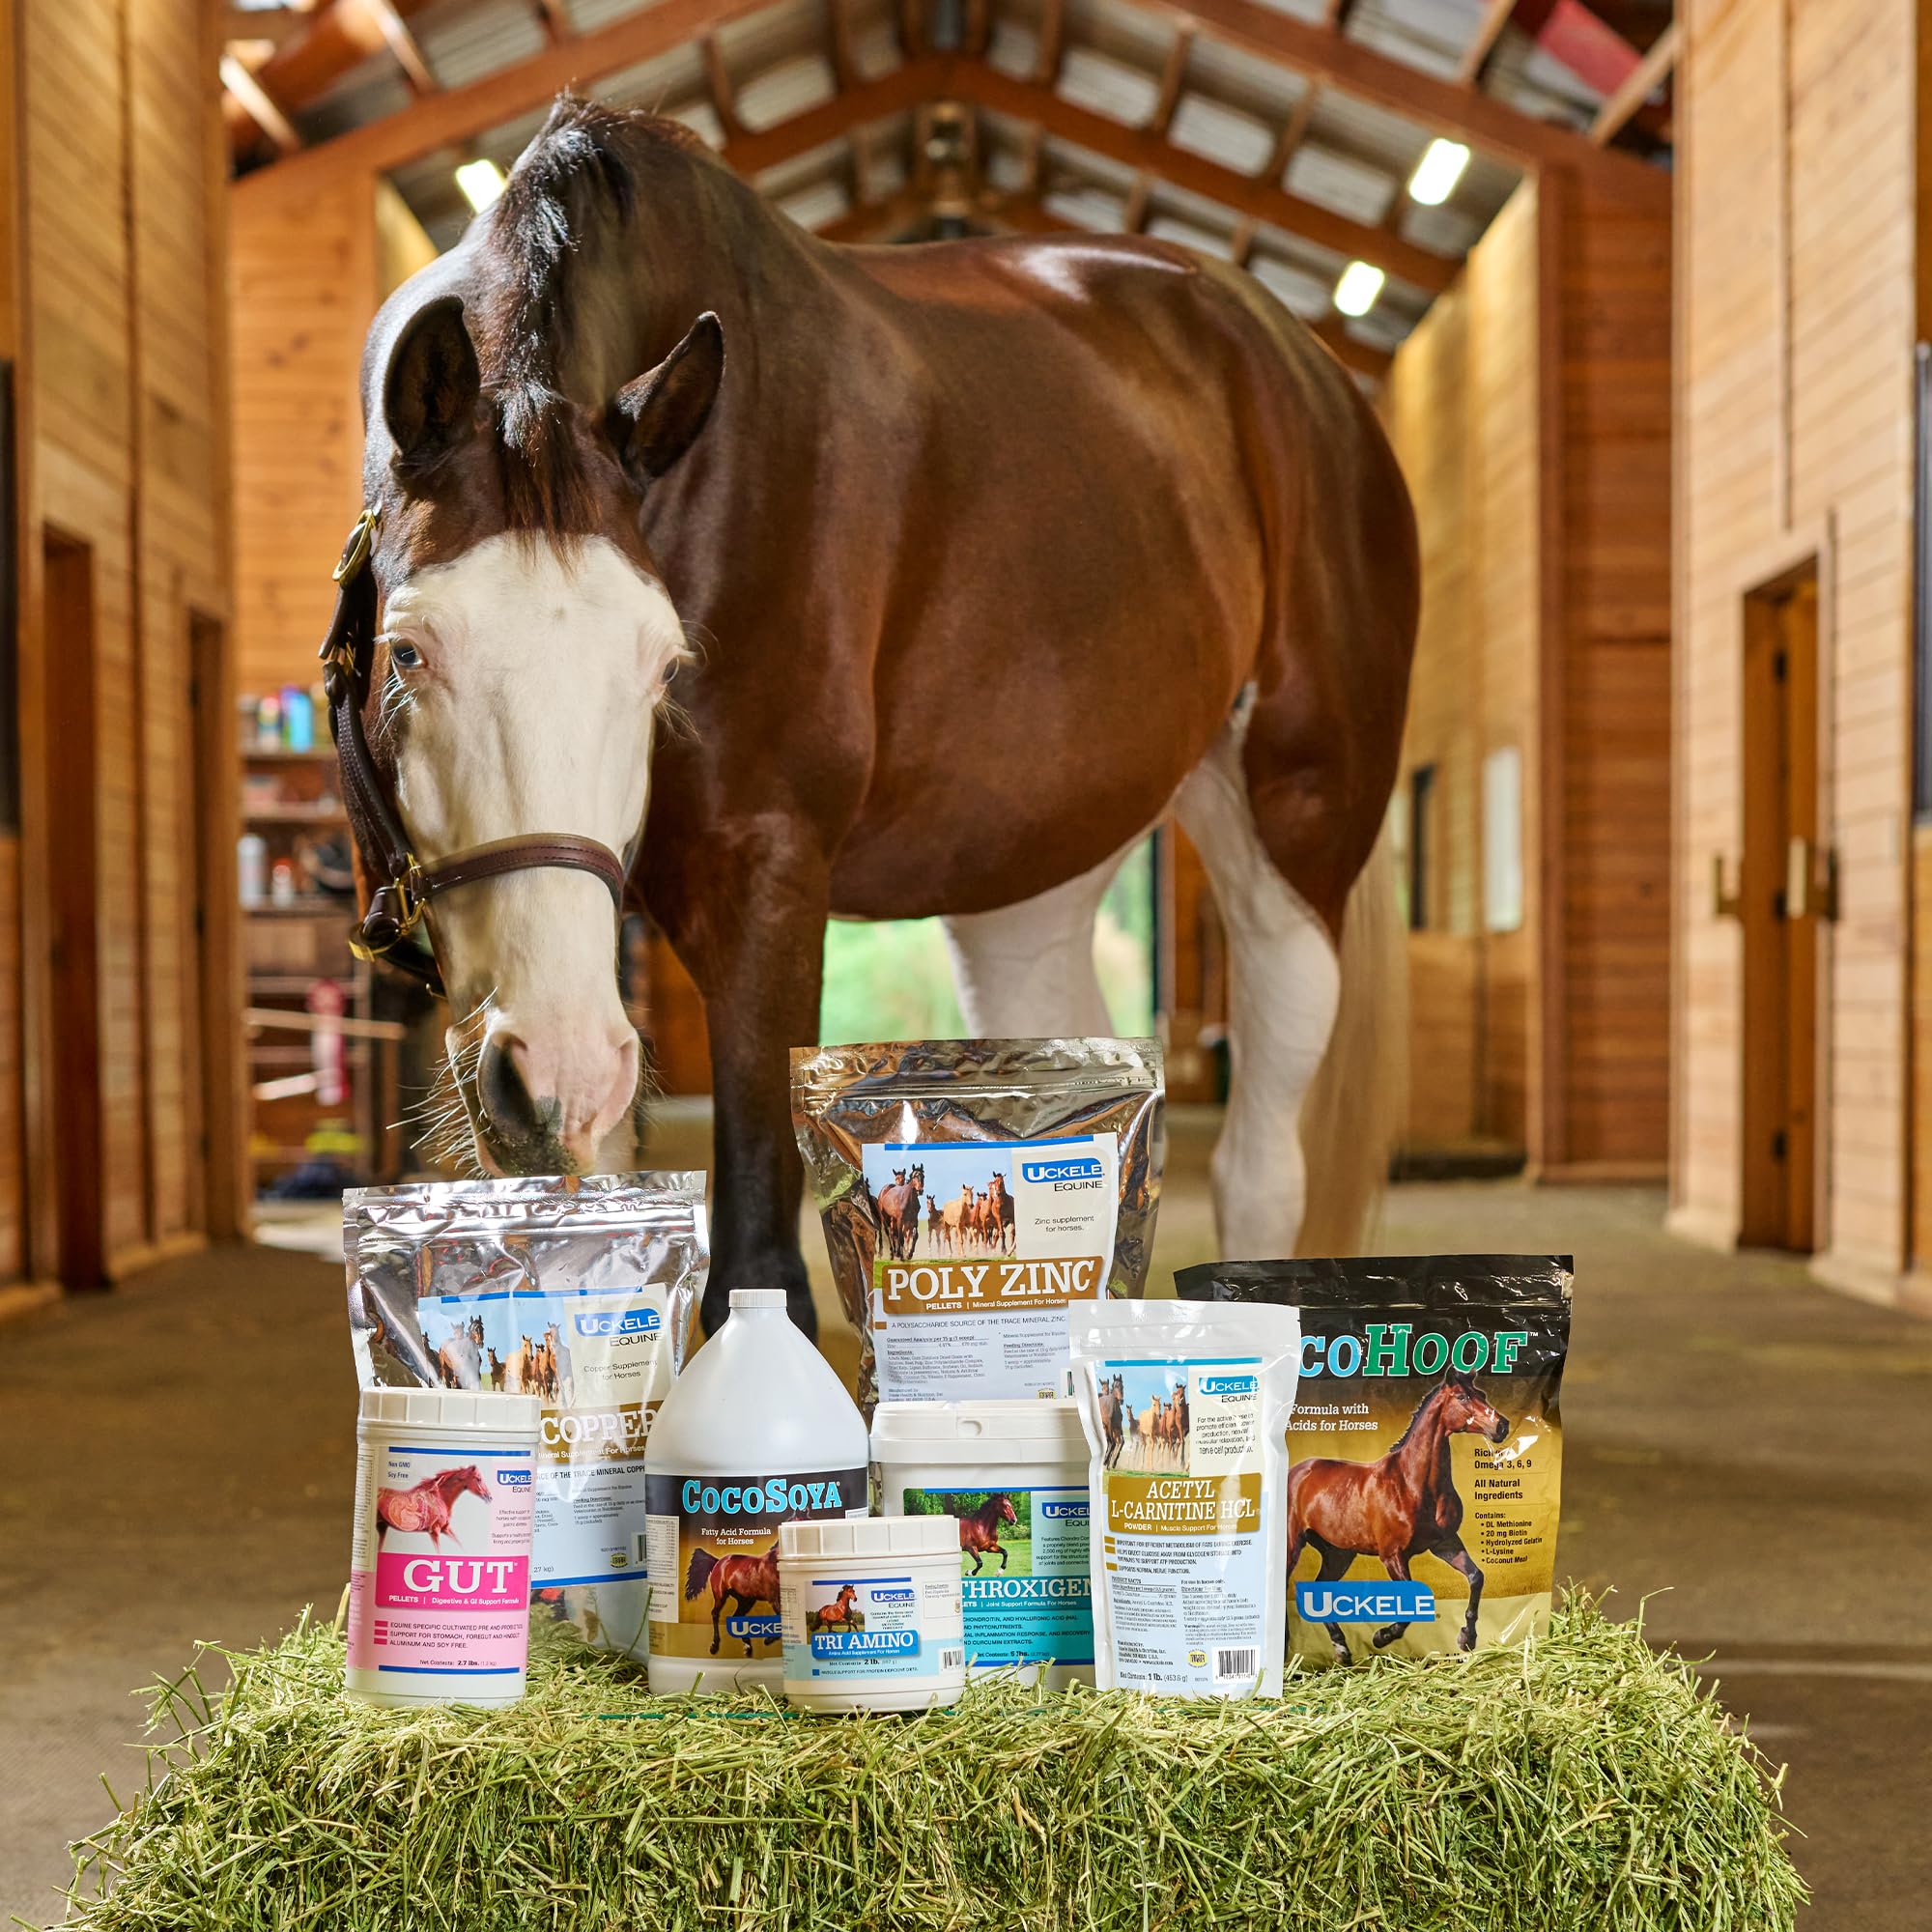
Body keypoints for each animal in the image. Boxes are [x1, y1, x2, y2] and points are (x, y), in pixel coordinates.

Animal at [351, 97, 1415, 1336]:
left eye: (663, 665)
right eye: (407, 649)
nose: (552, 1067)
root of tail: (1302, 370)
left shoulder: (765, 879)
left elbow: (757, 1257)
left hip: (1293, 836)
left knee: (1260, 1165)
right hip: (1029, 874)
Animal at [1286, 1372, 1511, 1662]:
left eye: (1482, 1394)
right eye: (1462, 1397)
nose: (1501, 1426)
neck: (1412, 1484)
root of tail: (1297, 1472)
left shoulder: (1446, 1544)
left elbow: (1476, 1577)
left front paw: (1467, 1637)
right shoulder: (1393, 1555)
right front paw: (1381, 1636)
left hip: (1339, 1554)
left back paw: (1341, 1648)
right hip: (1293, 1547)